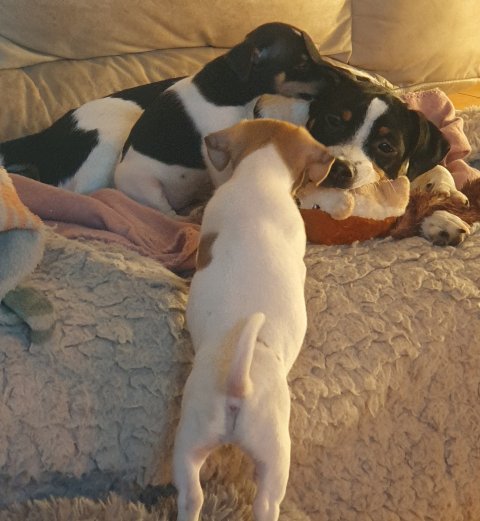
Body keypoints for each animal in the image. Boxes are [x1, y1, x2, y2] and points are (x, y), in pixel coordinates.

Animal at [0, 22, 336, 212]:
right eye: (302, 64)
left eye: (317, 54)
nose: (338, 79)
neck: (231, 89)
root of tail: (44, 138)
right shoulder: (217, 152)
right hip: (118, 158)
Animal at [172, 119, 335, 521]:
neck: (259, 176)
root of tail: (237, 387)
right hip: (275, 454)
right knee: (266, 503)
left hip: (190, 442)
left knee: (192, 496)